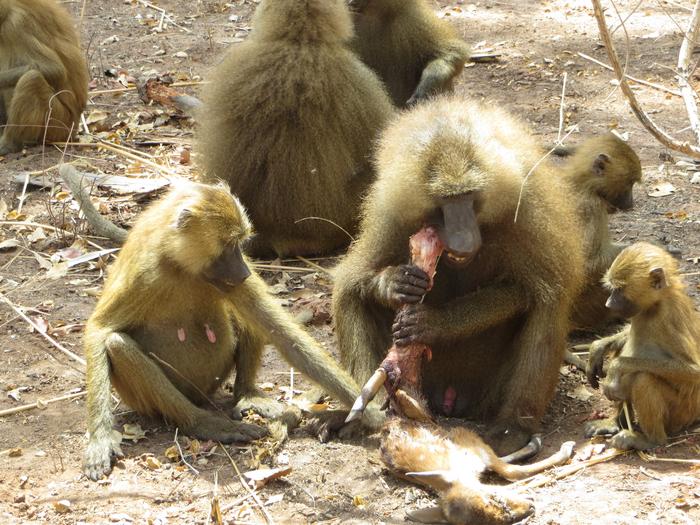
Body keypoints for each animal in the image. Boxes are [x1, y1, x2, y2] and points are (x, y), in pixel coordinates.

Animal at [83, 181, 377, 481]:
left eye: (239, 243)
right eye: (227, 245)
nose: (244, 271)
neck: (177, 260)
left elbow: (281, 333)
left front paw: (368, 410)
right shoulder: (145, 272)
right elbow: (99, 330)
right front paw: (99, 439)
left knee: (248, 318)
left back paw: (247, 395)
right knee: (117, 345)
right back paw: (203, 423)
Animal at [332, 95, 585, 456]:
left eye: (469, 196)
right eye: (445, 200)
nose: (464, 240)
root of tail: (450, 400)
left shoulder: (528, 209)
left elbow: (529, 288)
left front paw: (434, 323)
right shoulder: (389, 214)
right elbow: (353, 279)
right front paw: (395, 283)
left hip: (487, 393)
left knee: (547, 303)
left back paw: (512, 430)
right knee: (349, 296)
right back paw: (374, 416)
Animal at [381, 417, 575, 525]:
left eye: (494, 498)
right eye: (504, 520)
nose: (531, 506)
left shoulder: (471, 440)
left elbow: (512, 472)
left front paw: (566, 448)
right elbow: (513, 473)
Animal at [585, 242, 700, 450]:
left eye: (620, 289)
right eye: (613, 288)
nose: (608, 304)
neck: (656, 305)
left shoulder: (668, 319)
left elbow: (694, 372)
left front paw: (616, 367)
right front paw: (597, 348)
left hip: (682, 413)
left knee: (643, 379)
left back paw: (650, 440)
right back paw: (616, 422)